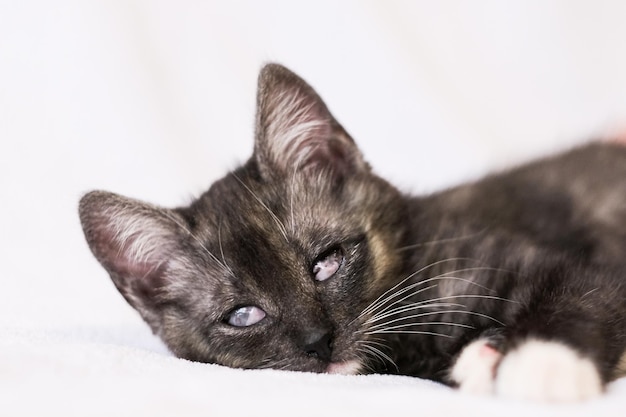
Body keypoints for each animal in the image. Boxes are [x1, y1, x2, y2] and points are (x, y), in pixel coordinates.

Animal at [79, 63, 624, 402]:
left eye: (327, 262)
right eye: (243, 315)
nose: (319, 342)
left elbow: (578, 291)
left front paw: (545, 365)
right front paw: (492, 356)